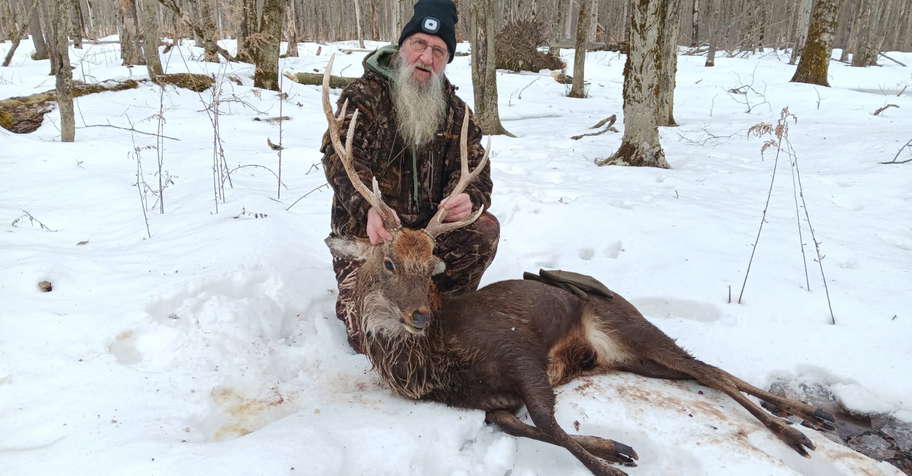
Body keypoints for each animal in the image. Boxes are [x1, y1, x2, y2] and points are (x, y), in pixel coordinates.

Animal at [319, 58, 836, 476]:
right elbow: (527, 428)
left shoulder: (518, 349)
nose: (419, 315)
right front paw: (614, 447)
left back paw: (799, 430)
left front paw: (612, 464)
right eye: (389, 262)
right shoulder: (490, 402)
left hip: (629, 324)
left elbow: (549, 424)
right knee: (706, 371)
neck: (433, 363)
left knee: (708, 371)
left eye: (432, 269)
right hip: (629, 356)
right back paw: (810, 417)